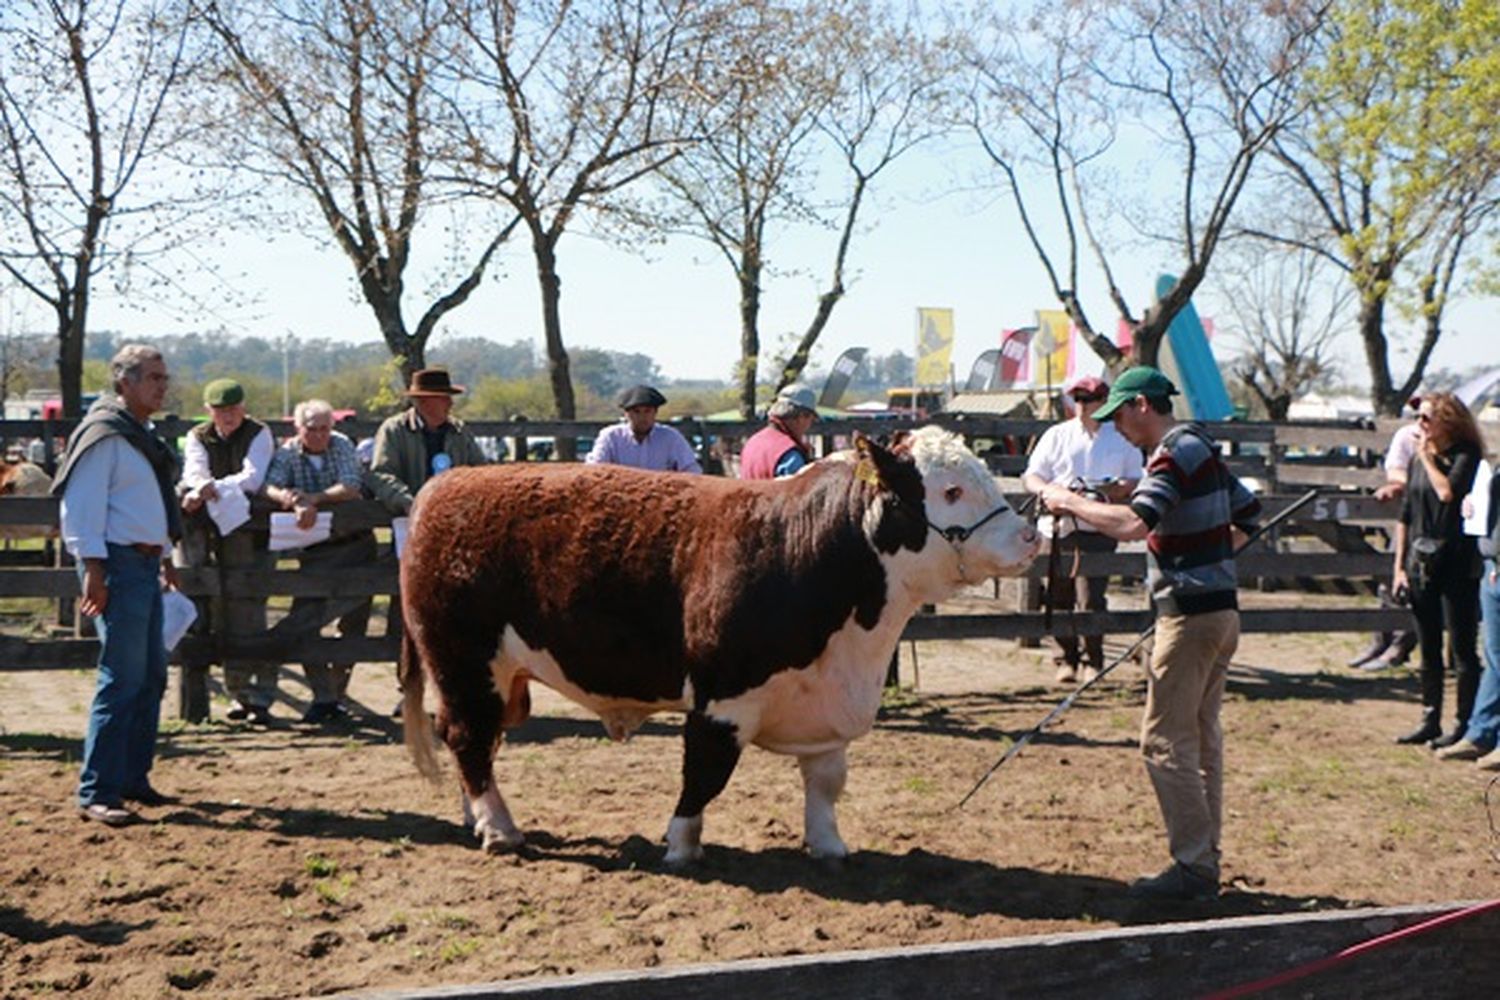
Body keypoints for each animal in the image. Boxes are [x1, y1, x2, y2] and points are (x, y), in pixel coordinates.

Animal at [405, 425, 1038, 863]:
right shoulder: (722, 700)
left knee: (473, 741)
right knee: (468, 736)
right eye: (950, 490)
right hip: (466, 663)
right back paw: (500, 829)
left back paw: (475, 816)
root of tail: (446, 483)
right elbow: (704, 774)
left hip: (497, 679)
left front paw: (829, 846)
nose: (1030, 534)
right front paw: (681, 846)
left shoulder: (827, 709)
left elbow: (826, 782)